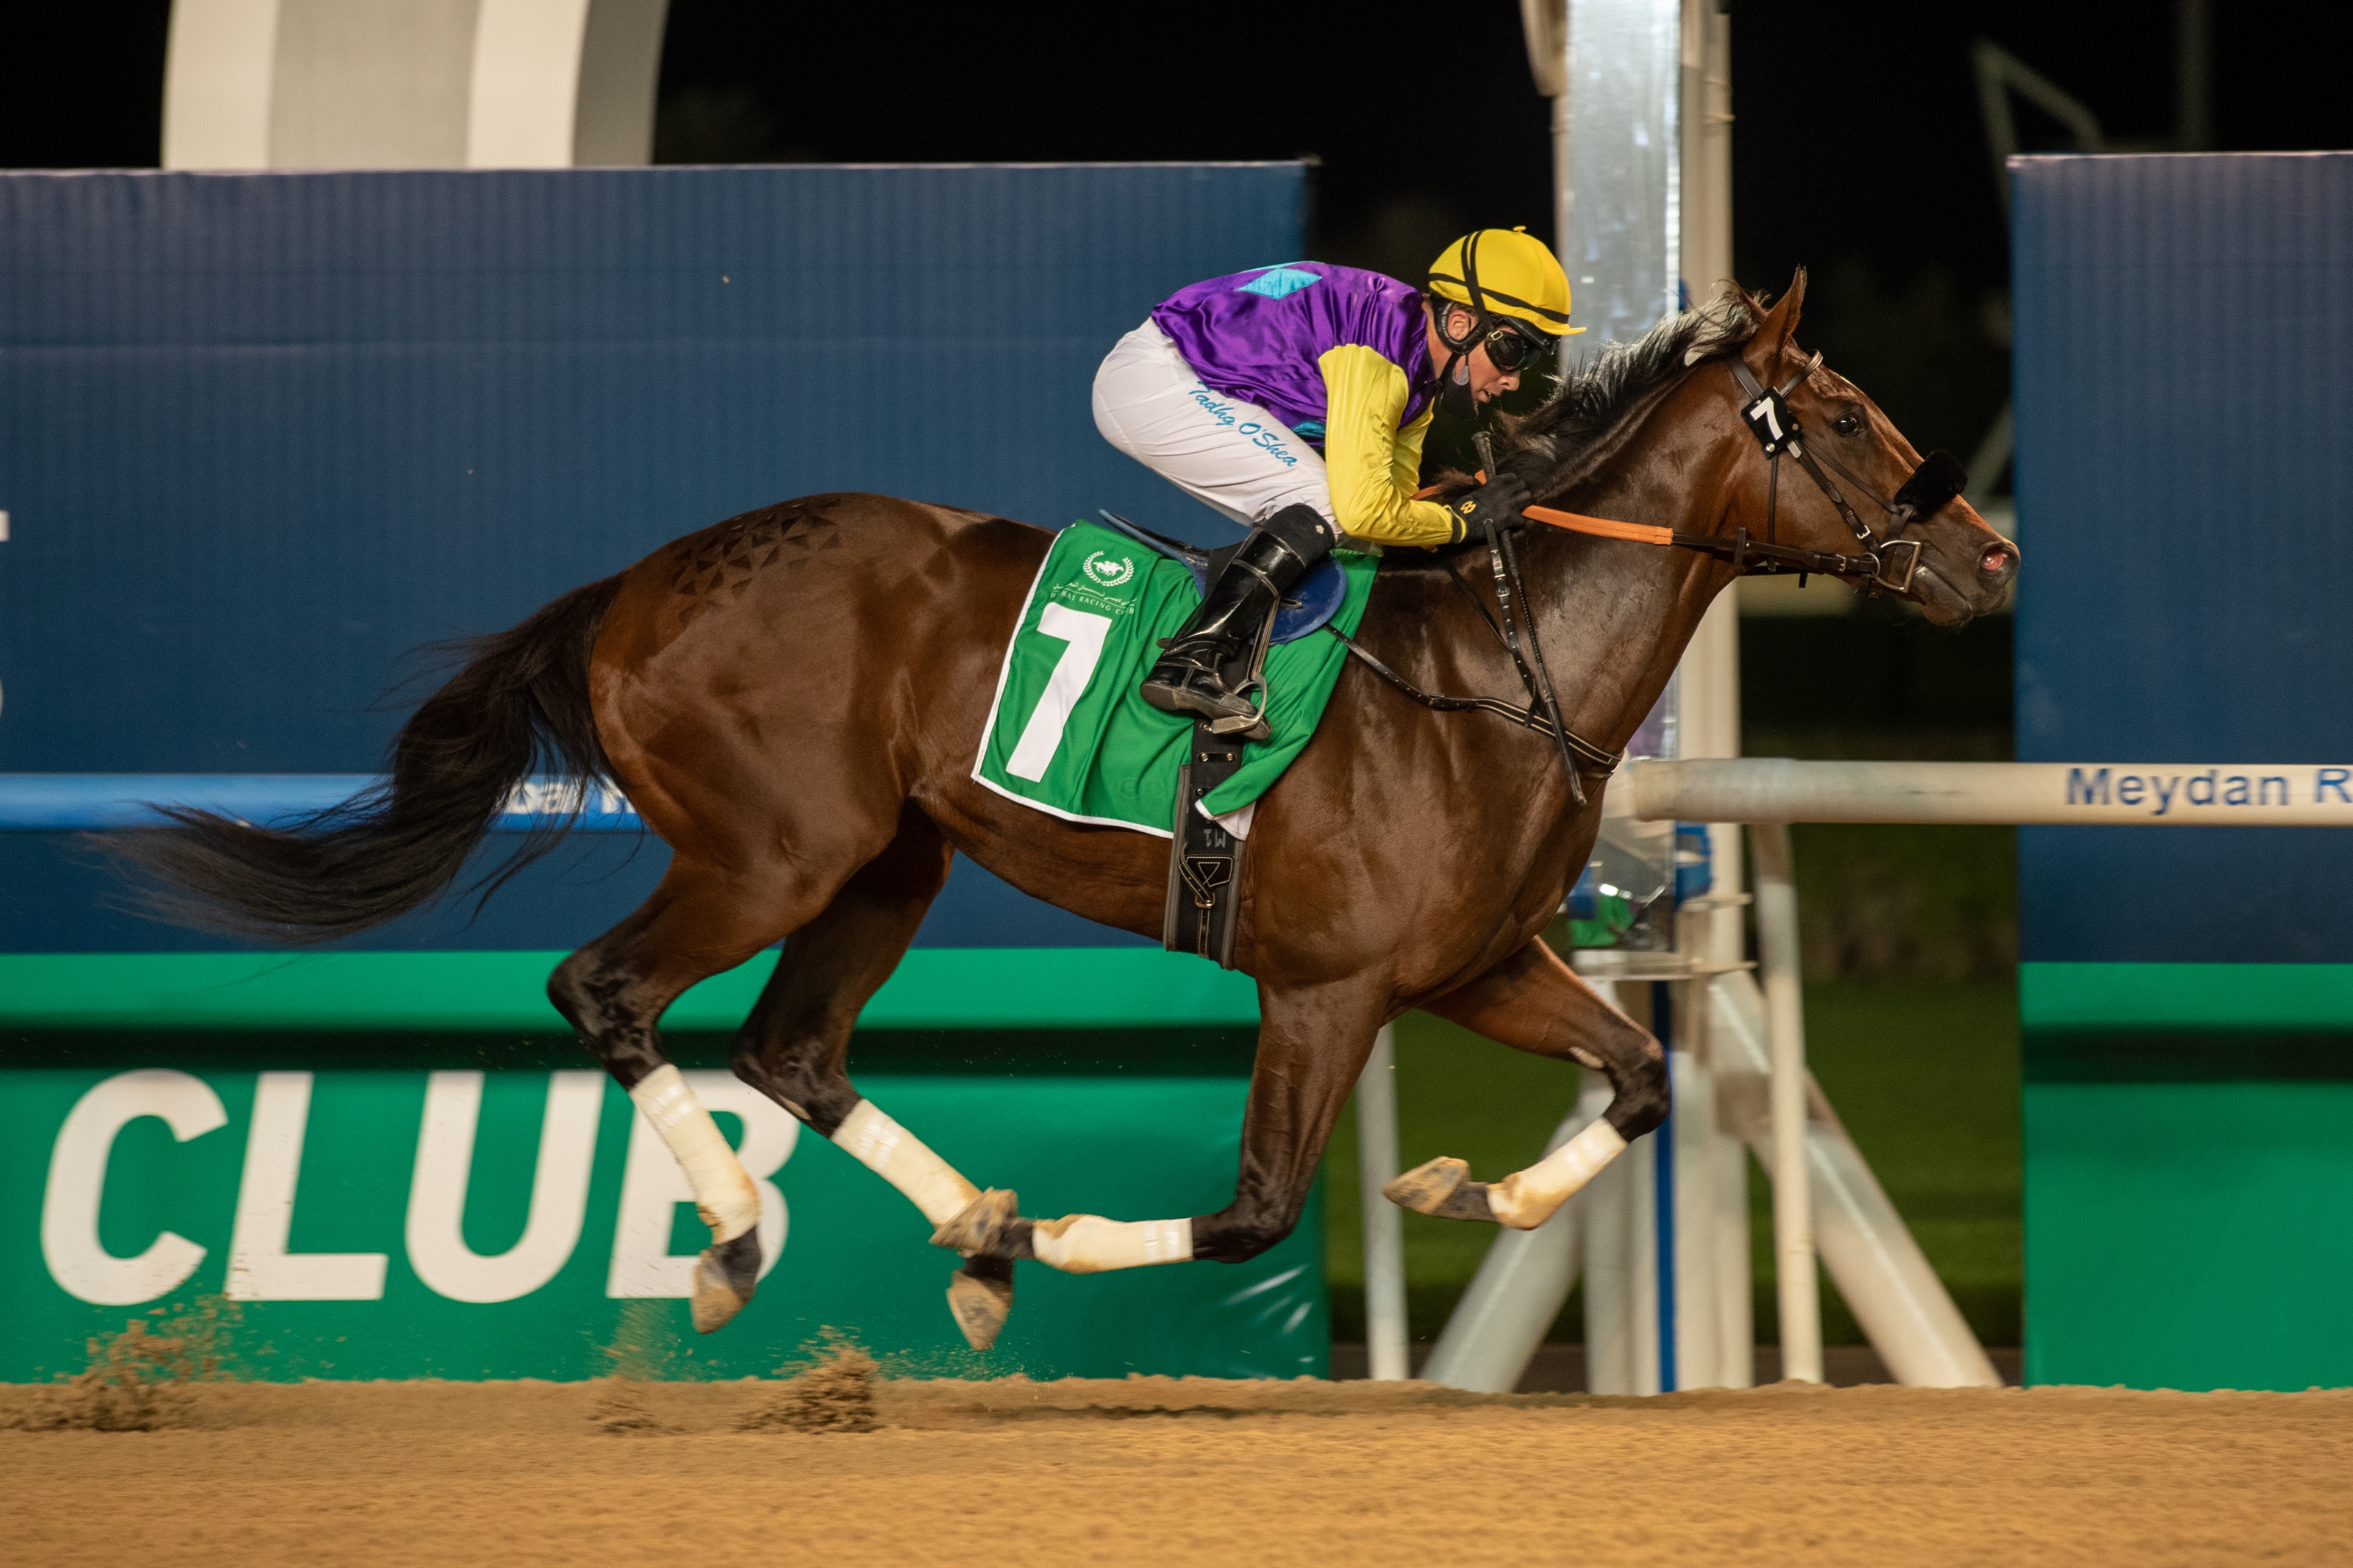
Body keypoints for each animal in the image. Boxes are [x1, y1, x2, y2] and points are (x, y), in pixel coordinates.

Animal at [116, 271, 2017, 1351]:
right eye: (1846, 413)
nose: (1991, 558)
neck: (1499, 667)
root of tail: (643, 580)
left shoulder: (1475, 965)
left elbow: (1637, 1079)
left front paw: (1459, 1191)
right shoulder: (1324, 987)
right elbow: (1253, 1207)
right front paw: (1073, 1231)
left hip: (887, 861)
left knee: (791, 1049)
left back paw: (961, 1230)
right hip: (770, 848)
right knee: (612, 993)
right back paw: (738, 1237)